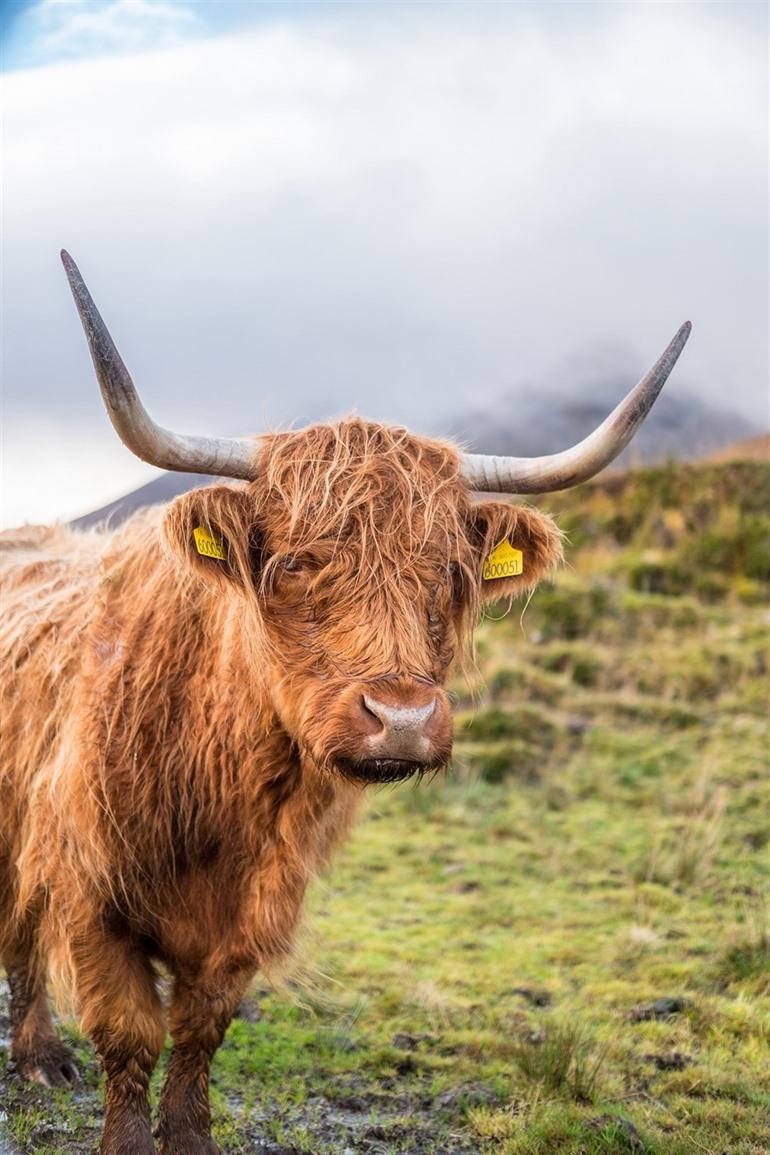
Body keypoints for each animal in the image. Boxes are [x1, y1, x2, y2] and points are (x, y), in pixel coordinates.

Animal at [0, 251, 690, 1155]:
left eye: (451, 572)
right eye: (296, 562)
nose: (401, 718)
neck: (218, 788)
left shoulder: (255, 912)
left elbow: (199, 1030)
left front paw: (188, 1136)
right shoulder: (90, 889)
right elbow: (129, 1033)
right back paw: (41, 1056)